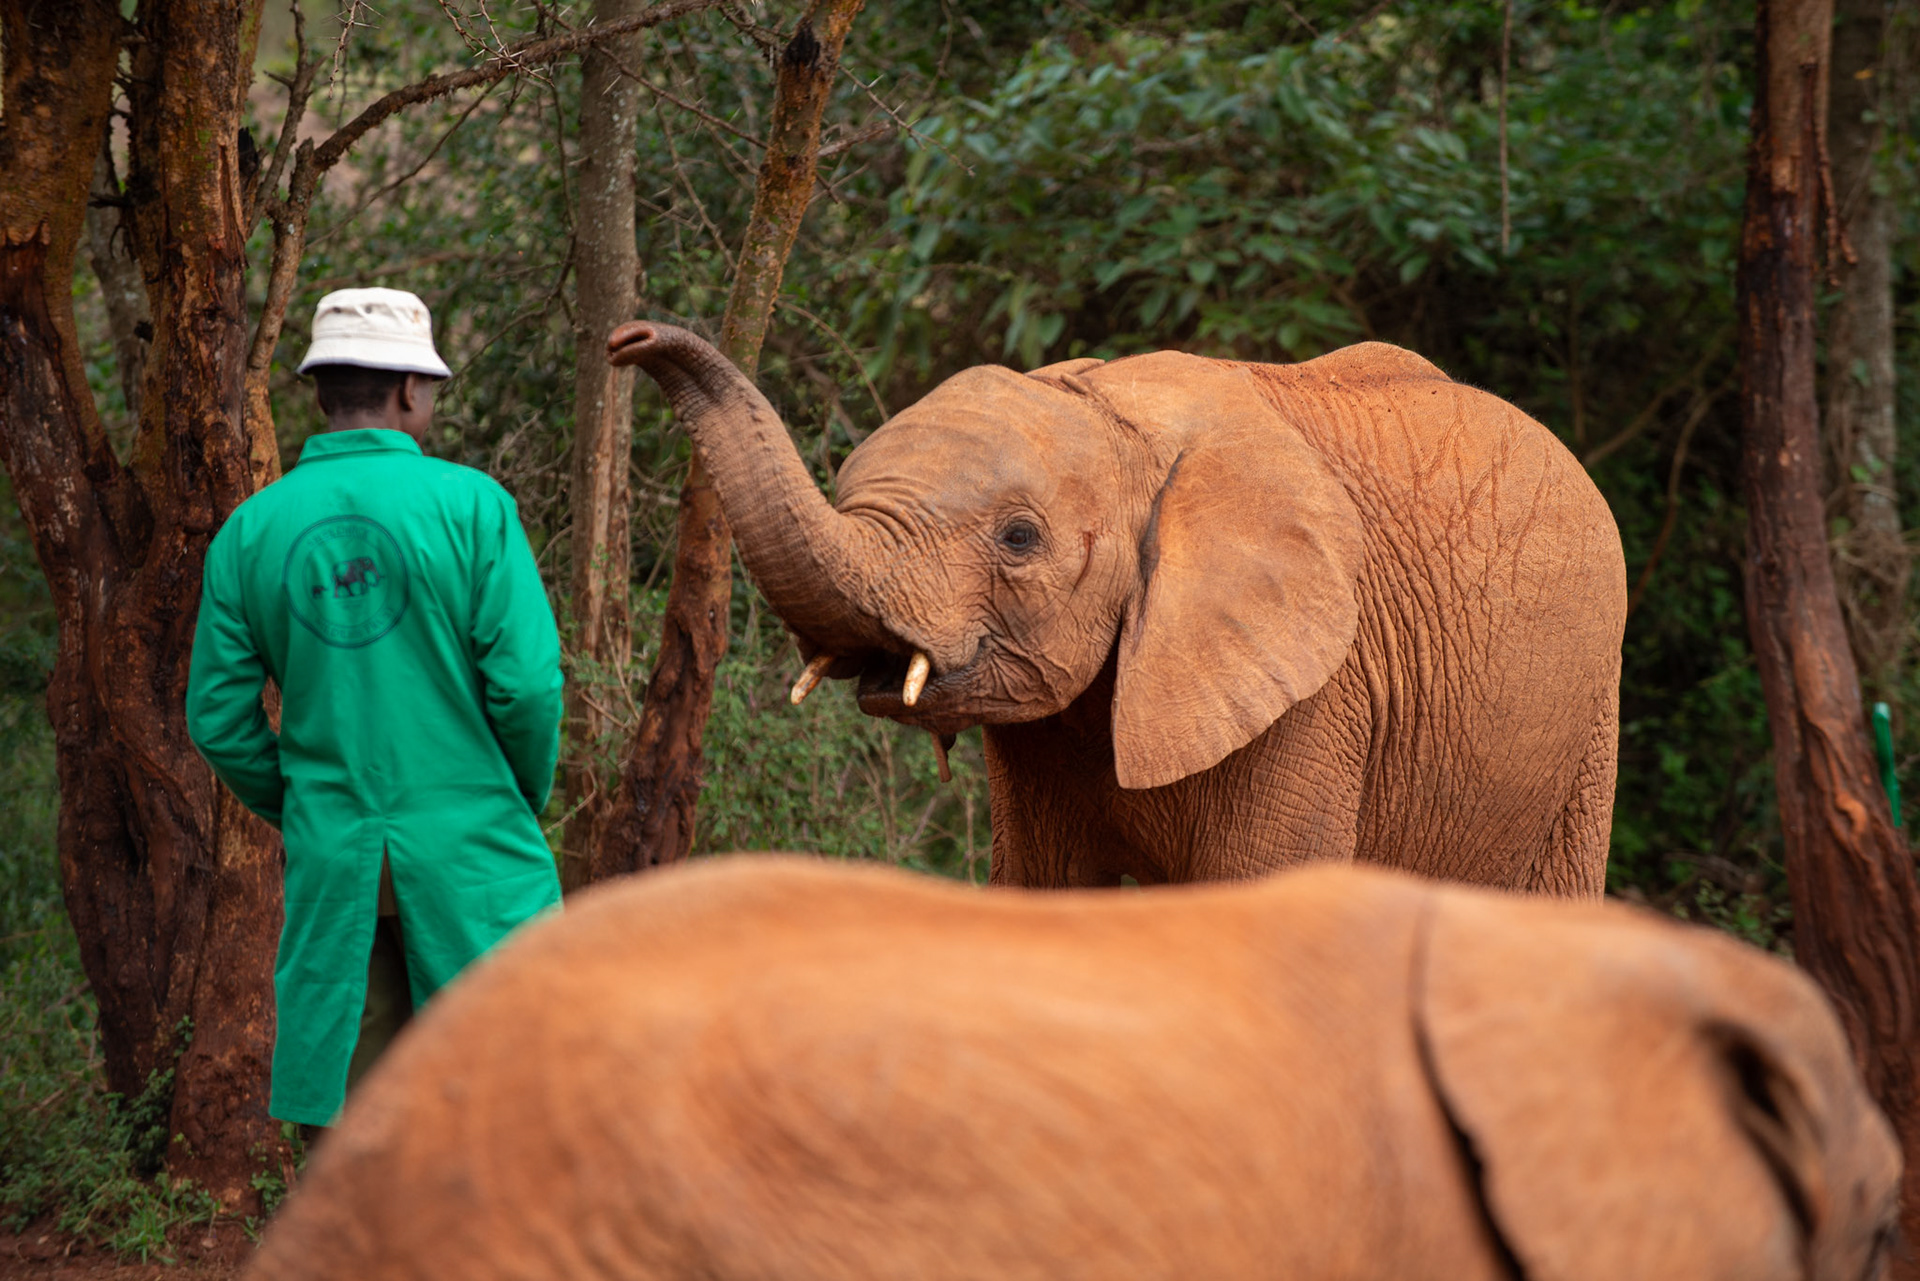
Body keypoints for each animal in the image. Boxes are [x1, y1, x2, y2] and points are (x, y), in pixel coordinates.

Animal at [607, 323, 1625, 893]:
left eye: (1019, 538)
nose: (628, 339)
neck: (1119, 416)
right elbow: (1044, 888)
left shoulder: (1322, 695)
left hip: (1593, 714)